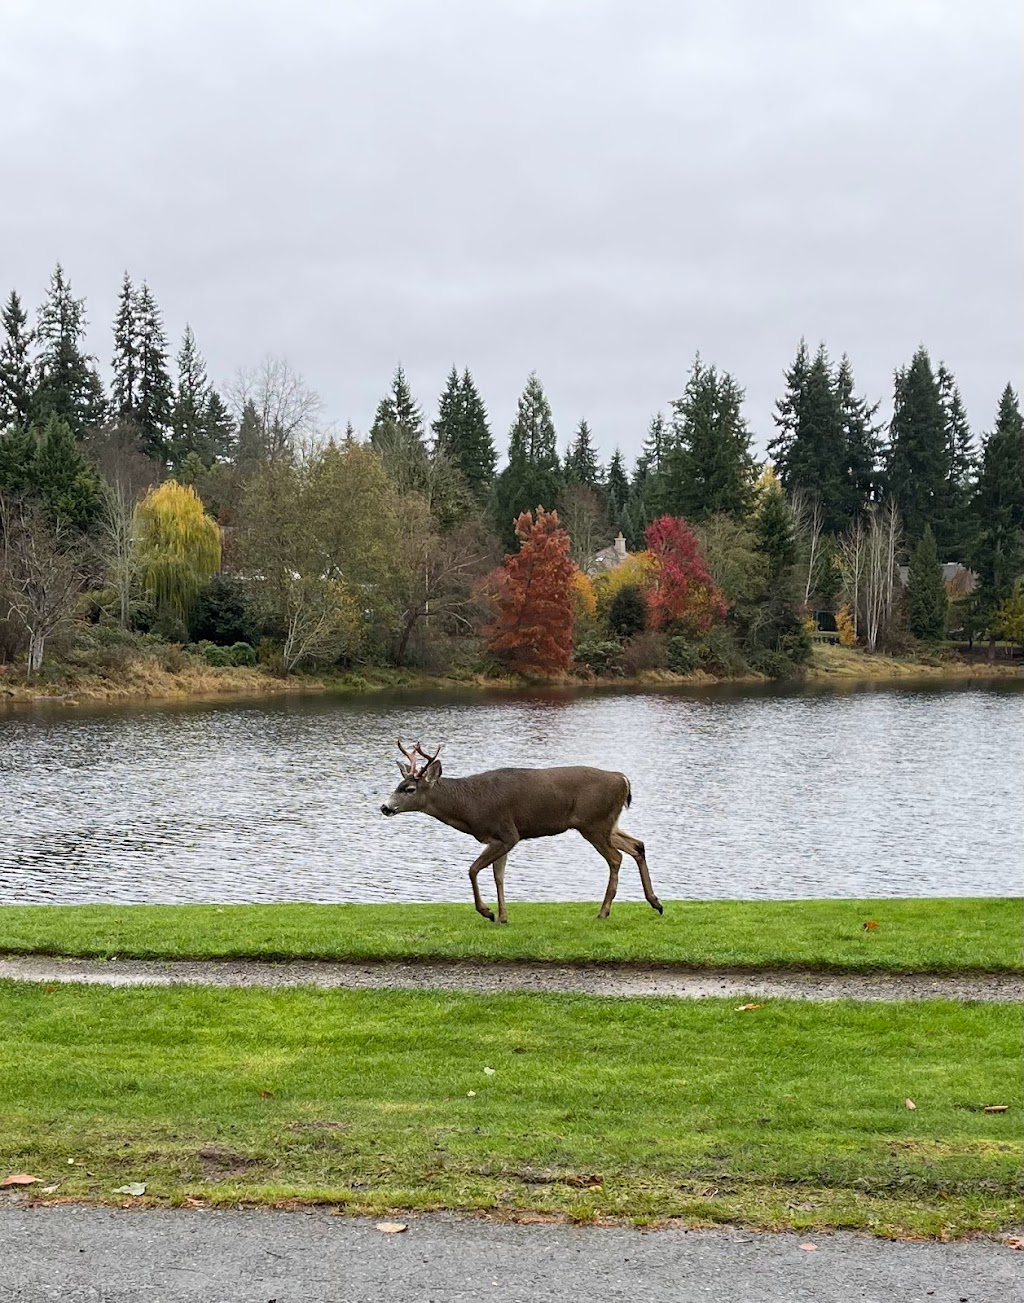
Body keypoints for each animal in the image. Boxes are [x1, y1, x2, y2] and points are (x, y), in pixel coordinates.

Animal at [380, 745, 661, 927]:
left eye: (409, 788)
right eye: (397, 785)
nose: (385, 807)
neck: (469, 807)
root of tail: (622, 778)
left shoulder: (507, 833)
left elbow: (473, 869)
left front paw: (487, 912)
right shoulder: (497, 839)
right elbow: (498, 876)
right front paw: (503, 916)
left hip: (594, 823)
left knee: (616, 858)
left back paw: (603, 912)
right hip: (607, 824)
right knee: (638, 845)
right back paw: (655, 903)